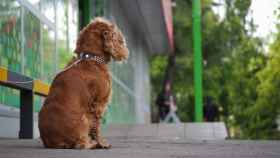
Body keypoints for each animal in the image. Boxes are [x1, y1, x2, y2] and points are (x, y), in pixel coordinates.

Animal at [38, 17, 129, 149]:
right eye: (114, 30)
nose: (123, 39)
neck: (91, 58)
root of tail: (53, 142)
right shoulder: (98, 104)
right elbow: (96, 126)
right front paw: (102, 143)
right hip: (83, 119)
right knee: (81, 143)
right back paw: (92, 143)